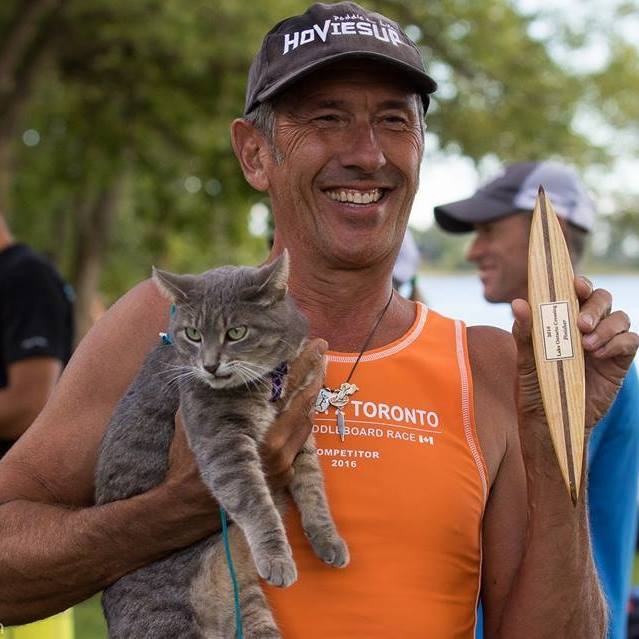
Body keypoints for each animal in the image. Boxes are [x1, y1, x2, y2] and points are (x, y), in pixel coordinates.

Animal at [96, 252, 350, 636]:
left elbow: (312, 486)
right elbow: (256, 503)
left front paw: (327, 538)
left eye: (236, 332)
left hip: (251, 613)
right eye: (193, 334)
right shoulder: (223, 441)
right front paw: (278, 558)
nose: (210, 365)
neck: (269, 383)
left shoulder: (300, 434)